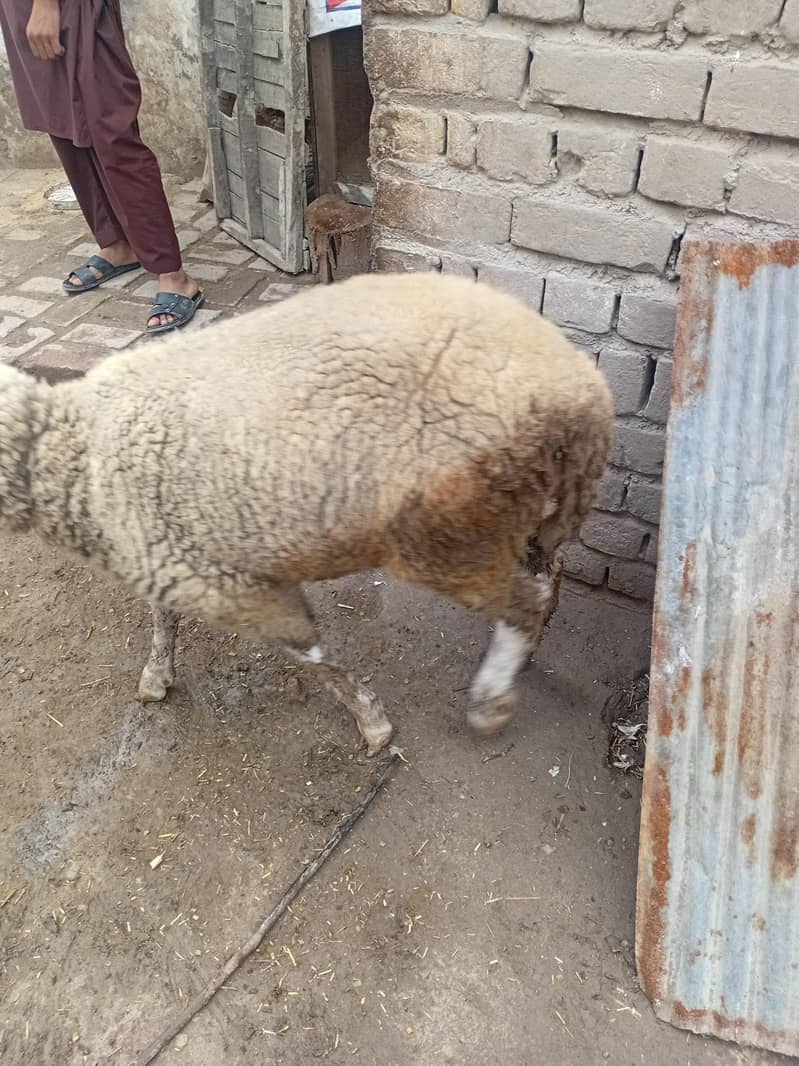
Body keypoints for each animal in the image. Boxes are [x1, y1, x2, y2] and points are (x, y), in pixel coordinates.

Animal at [0, 272, 613, 755]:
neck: (68, 446)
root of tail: (581, 389)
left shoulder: (233, 587)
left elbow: (312, 656)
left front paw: (373, 724)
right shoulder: (173, 556)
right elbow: (162, 616)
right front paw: (157, 674)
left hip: (449, 526)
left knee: (523, 600)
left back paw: (490, 701)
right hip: (518, 508)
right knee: (547, 577)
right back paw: (523, 659)